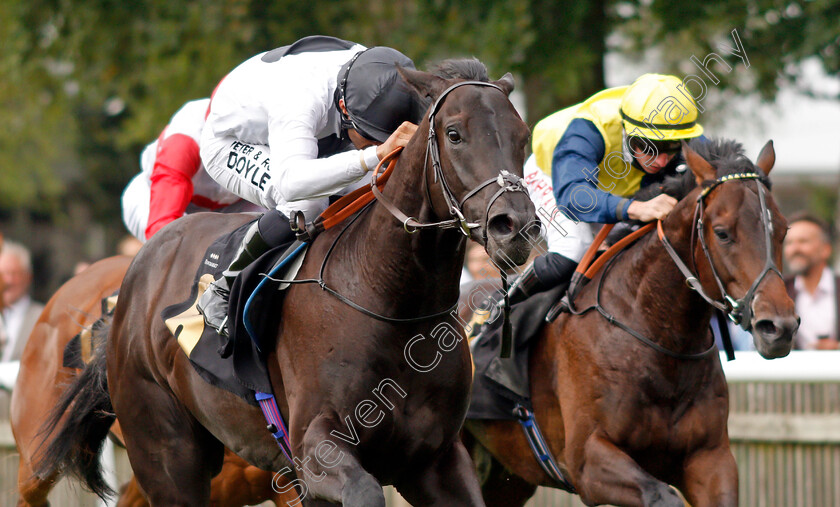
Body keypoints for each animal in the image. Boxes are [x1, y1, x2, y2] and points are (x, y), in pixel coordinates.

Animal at [466, 139, 800, 507]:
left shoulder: (710, 457)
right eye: (723, 233)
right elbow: (661, 495)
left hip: (507, 478)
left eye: (783, 229)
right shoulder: (588, 460)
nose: (779, 326)